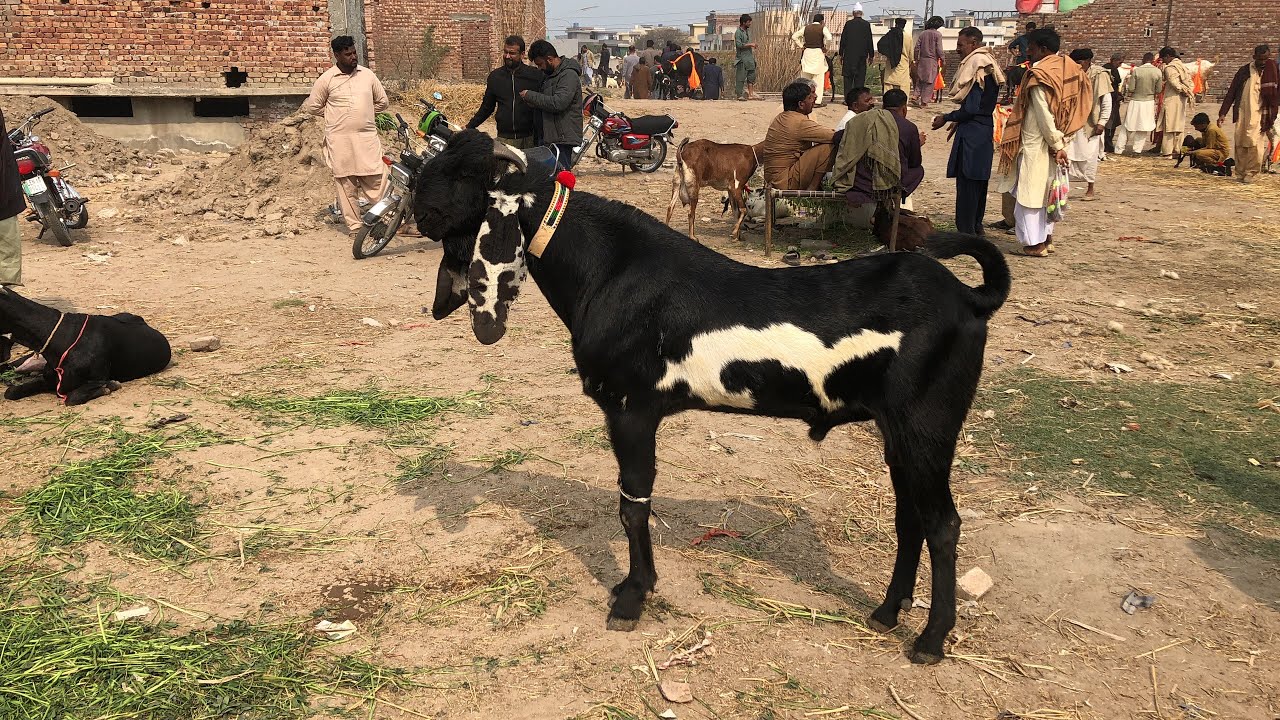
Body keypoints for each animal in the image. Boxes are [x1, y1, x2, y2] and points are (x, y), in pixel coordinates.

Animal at [0, 287, 171, 405]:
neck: (64, 337)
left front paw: (109, 386)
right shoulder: (50, 378)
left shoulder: (97, 378)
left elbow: (72, 397)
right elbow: (10, 391)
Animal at [413, 130, 1012, 664]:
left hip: (928, 424)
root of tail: (969, 298)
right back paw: (887, 612)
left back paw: (930, 641)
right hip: (897, 431)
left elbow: (632, 506)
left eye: (464, 175)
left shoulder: (631, 410)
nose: (417, 211)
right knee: (910, 517)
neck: (611, 270)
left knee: (943, 525)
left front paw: (632, 598)